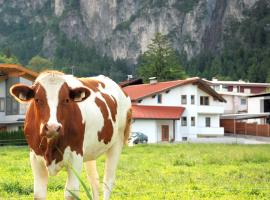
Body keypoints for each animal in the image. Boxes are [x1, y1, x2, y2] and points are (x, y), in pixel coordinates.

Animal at [10, 71, 132, 200]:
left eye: (67, 100)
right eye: (37, 99)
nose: (52, 127)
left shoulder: (76, 156)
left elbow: (71, 193)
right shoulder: (35, 158)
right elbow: (39, 194)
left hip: (117, 142)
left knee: (108, 182)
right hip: (90, 151)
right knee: (94, 180)